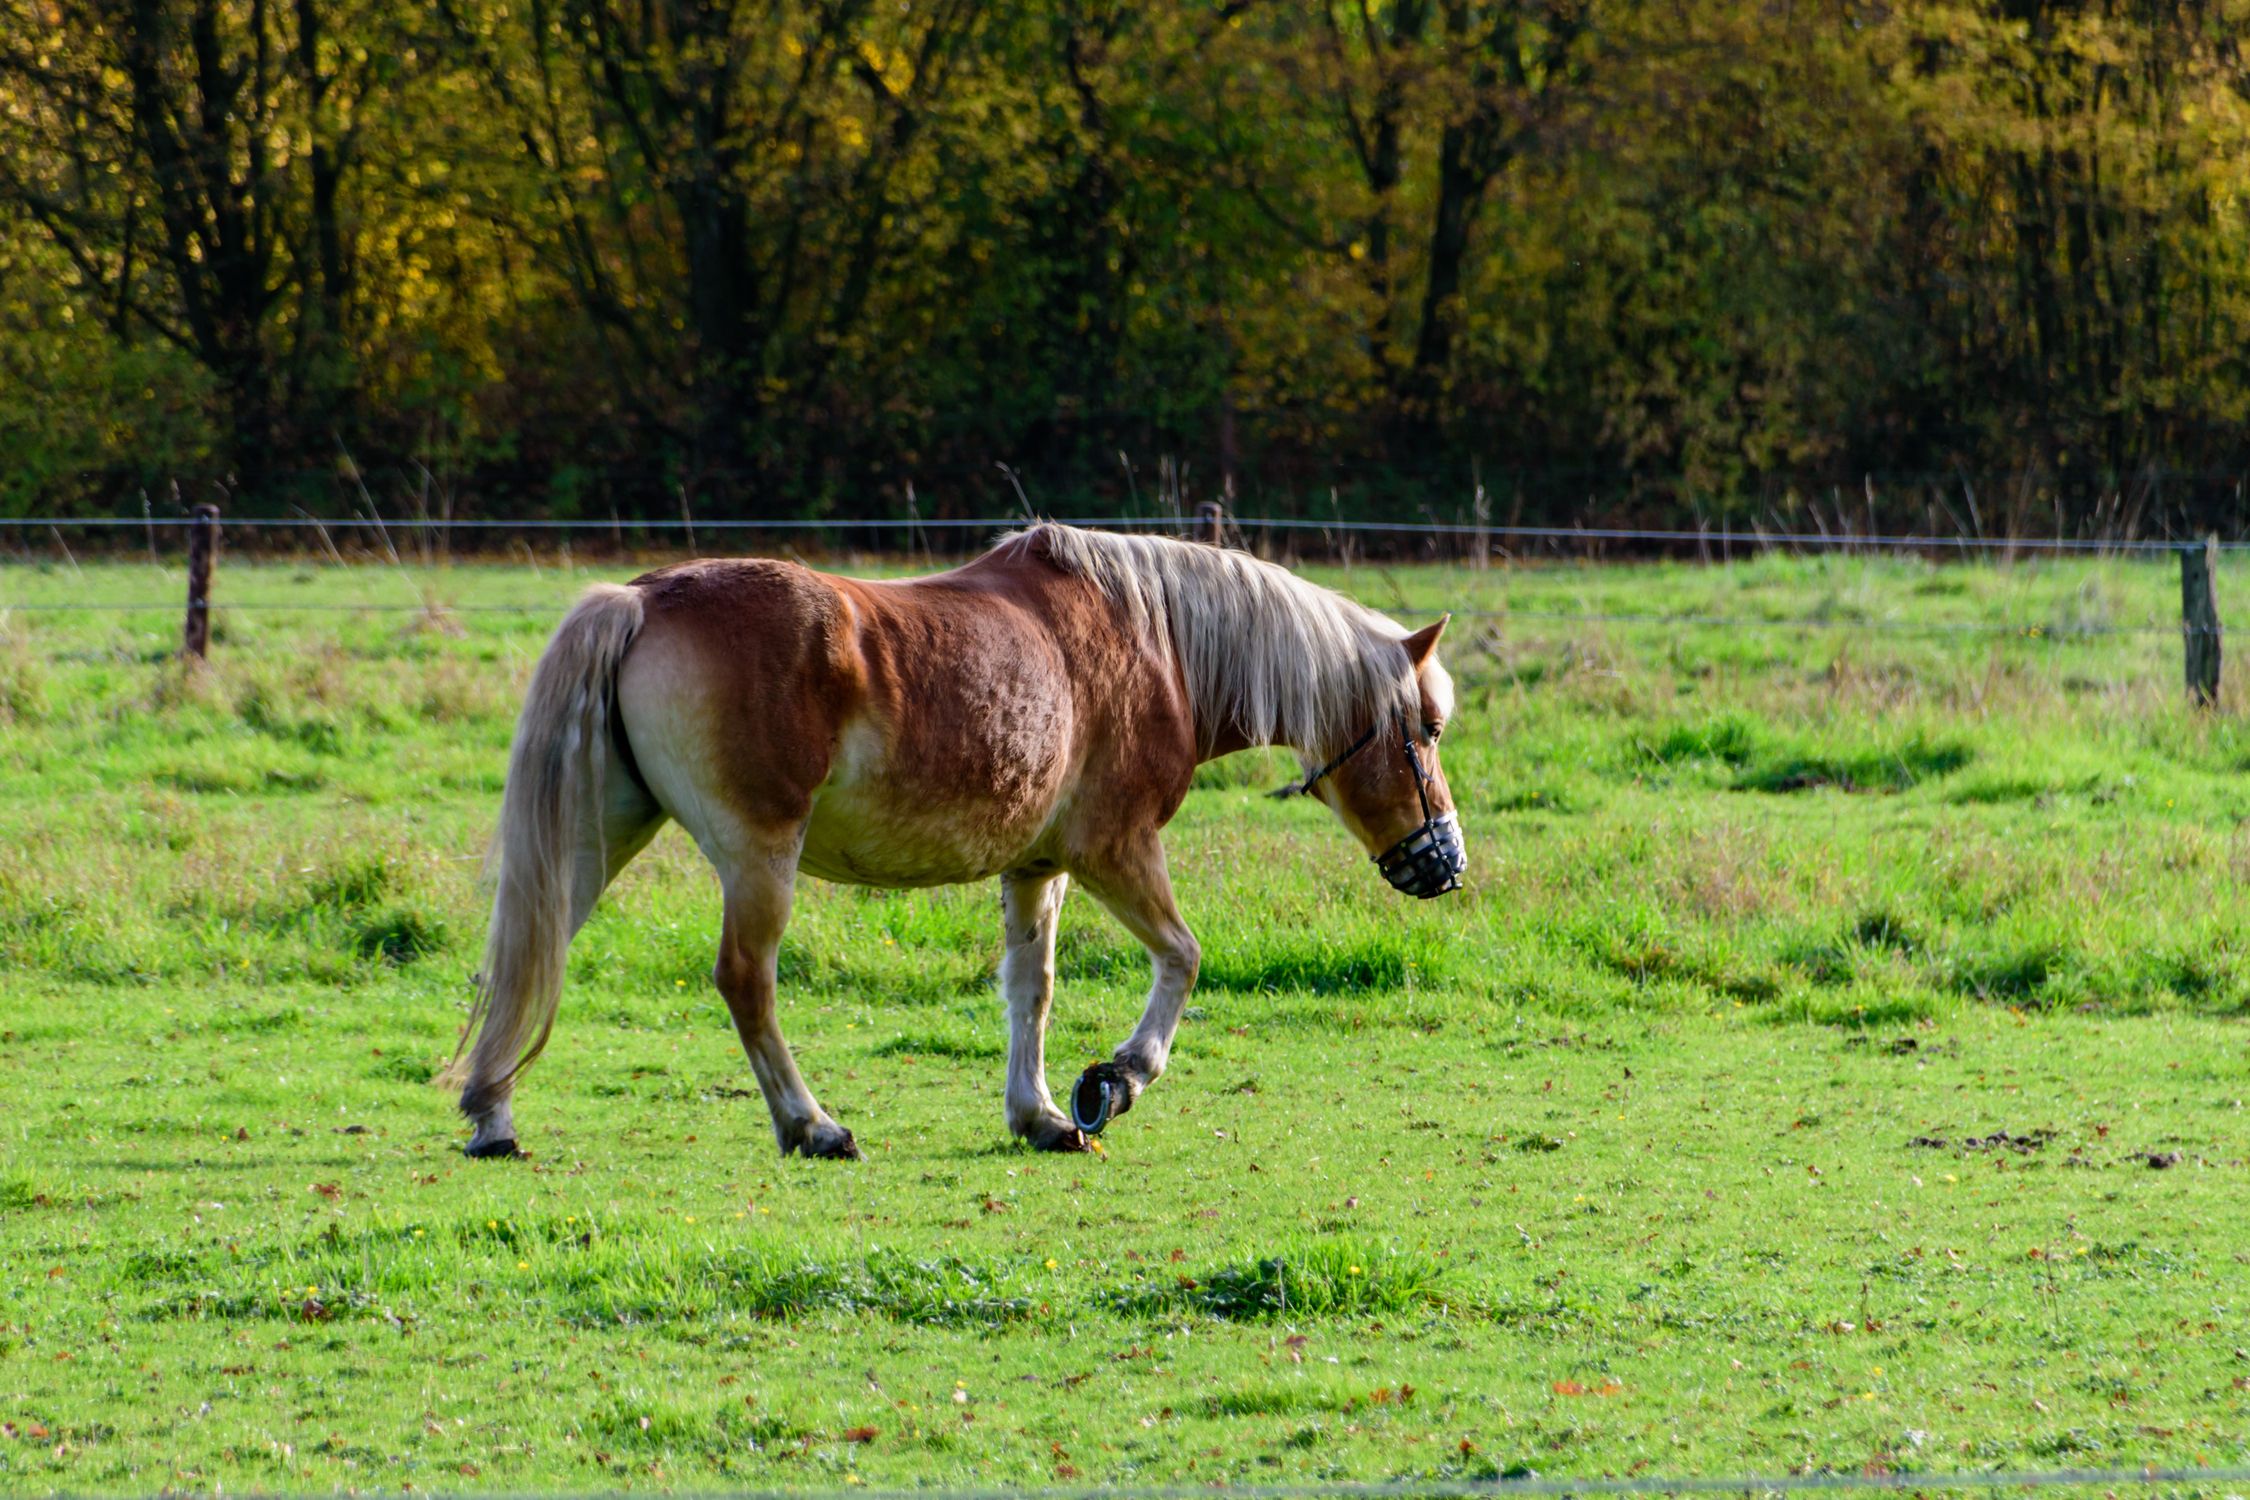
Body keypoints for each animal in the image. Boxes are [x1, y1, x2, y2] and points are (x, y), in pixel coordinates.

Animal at [441, 524, 1464, 1160]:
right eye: (1427, 729)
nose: (1444, 861)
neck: (1156, 644)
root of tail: (644, 598)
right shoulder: (1114, 850)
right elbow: (1182, 957)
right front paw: (1118, 1080)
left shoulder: (1038, 867)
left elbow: (1030, 989)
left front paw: (1041, 1114)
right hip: (760, 860)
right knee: (746, 982)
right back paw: (813, 1126)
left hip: (601, 837)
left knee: (530, 949)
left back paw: (492, 1116)